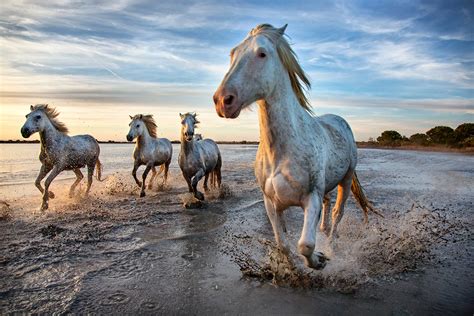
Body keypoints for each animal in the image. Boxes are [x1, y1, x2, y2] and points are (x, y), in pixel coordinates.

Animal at [213, 23, 380, 270]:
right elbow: (283, 244)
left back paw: (331, 244)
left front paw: (319, 260)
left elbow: (305, 245)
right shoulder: (271, 204)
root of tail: (340, 121)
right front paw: (290, 268)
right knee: (328, 207)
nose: (223, 101)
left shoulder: (311, 198)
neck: (282, 151)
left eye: (262, 53)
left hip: (346, 178)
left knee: (337, 214)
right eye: (233, 54)